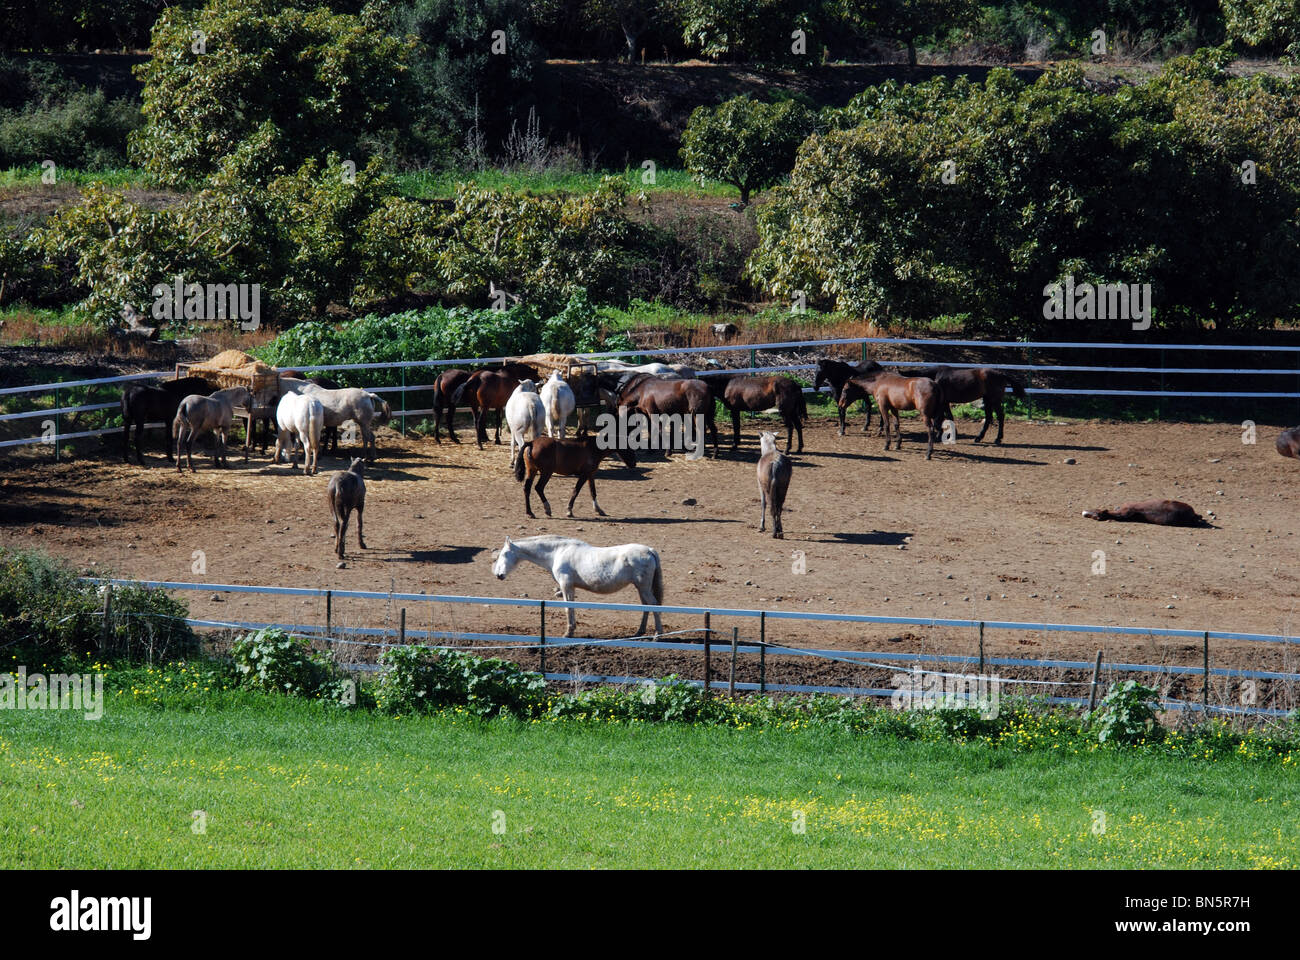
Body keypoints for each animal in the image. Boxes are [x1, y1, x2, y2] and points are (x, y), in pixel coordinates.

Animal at [492, 534, 664, 639]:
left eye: (504, 554)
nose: (499, 575)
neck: (558, 552)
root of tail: (649, 550)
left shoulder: (566, 585)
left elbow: (568, 608)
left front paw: (568, 632)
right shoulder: (570, 587)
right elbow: (571, 607)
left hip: (643, 587)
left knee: (653, 605)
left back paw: (657, 635)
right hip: (641, 588)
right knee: (646, 606)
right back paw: (640, 632)